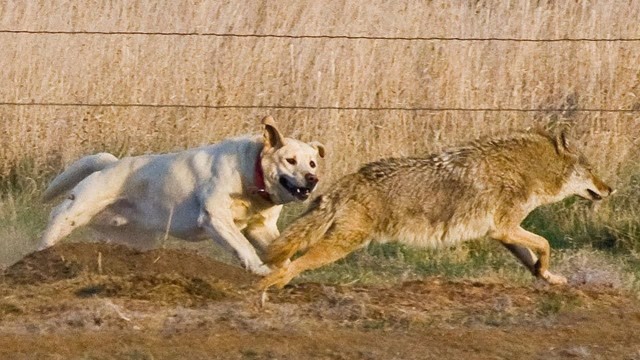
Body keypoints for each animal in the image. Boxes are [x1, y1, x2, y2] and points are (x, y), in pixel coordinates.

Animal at [40, 116, 324, 274]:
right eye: (290, 160)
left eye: (312, 163)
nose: (313, 179)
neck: (251, 174)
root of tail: (111, 163)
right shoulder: (215, 217)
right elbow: (242, 246)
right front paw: (259, 270)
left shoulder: (260, 227)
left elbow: (282, 253)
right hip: (76, 210)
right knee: (54, 220)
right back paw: (40, 257)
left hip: (135, 236)